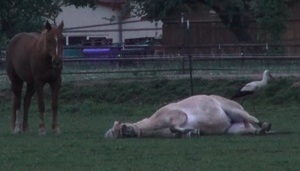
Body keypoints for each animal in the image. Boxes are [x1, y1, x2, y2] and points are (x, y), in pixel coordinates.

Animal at [105, 94, 272, 138]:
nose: (126, 129)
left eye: (120, 125)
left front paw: (193, 131)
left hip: (234, 110)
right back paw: (260, 131)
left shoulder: (178, 115)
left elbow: (173, 126)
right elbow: (176, 131)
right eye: (115, 133)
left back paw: (266, 125)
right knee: (250, 128)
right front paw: (193, 132)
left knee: (252, 118)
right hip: (234, 129)